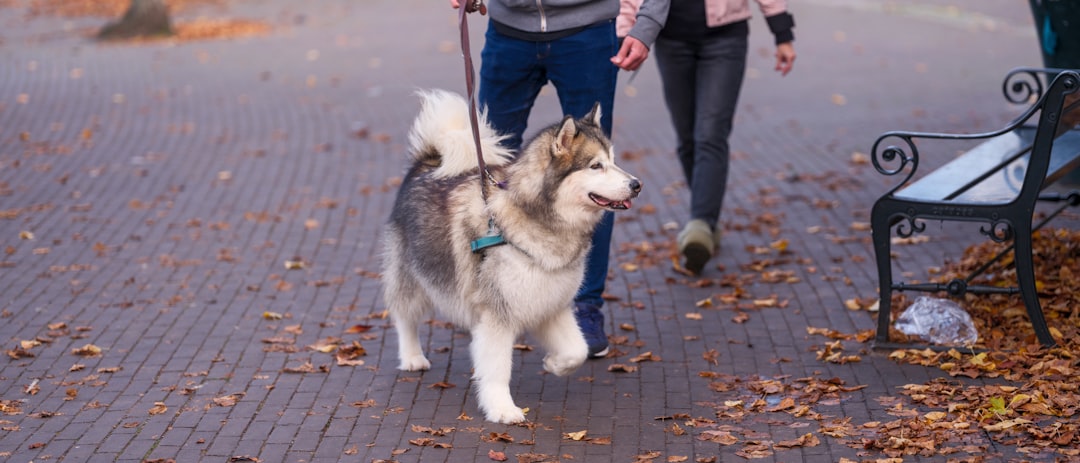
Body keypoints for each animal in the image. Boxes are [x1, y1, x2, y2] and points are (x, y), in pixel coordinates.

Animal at [382, 89, 639, 423]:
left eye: (614, 161)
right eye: (596, 166)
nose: (636, 185)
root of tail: (426, 163)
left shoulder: (551, 303)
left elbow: (577, 350)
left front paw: (555, 364)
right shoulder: (498, 314)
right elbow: (498, 368)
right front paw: (502, 408)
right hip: (413, 276)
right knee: (405, 316)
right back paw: (412, 356)